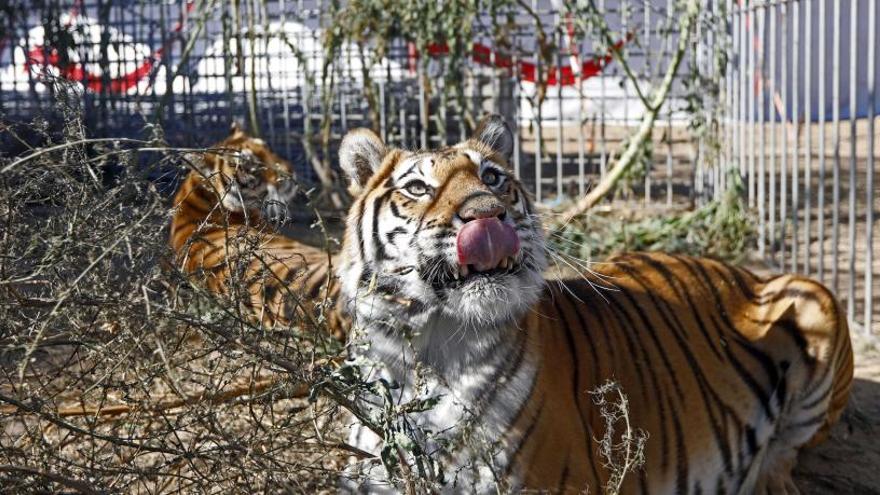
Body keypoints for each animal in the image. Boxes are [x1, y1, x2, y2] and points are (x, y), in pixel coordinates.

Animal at [336, 114, 852, 494]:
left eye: (492, 177)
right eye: (417, 188)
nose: (487, 214)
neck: (432, 346)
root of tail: (743, 271)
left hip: (814, 300)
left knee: (785, 454)